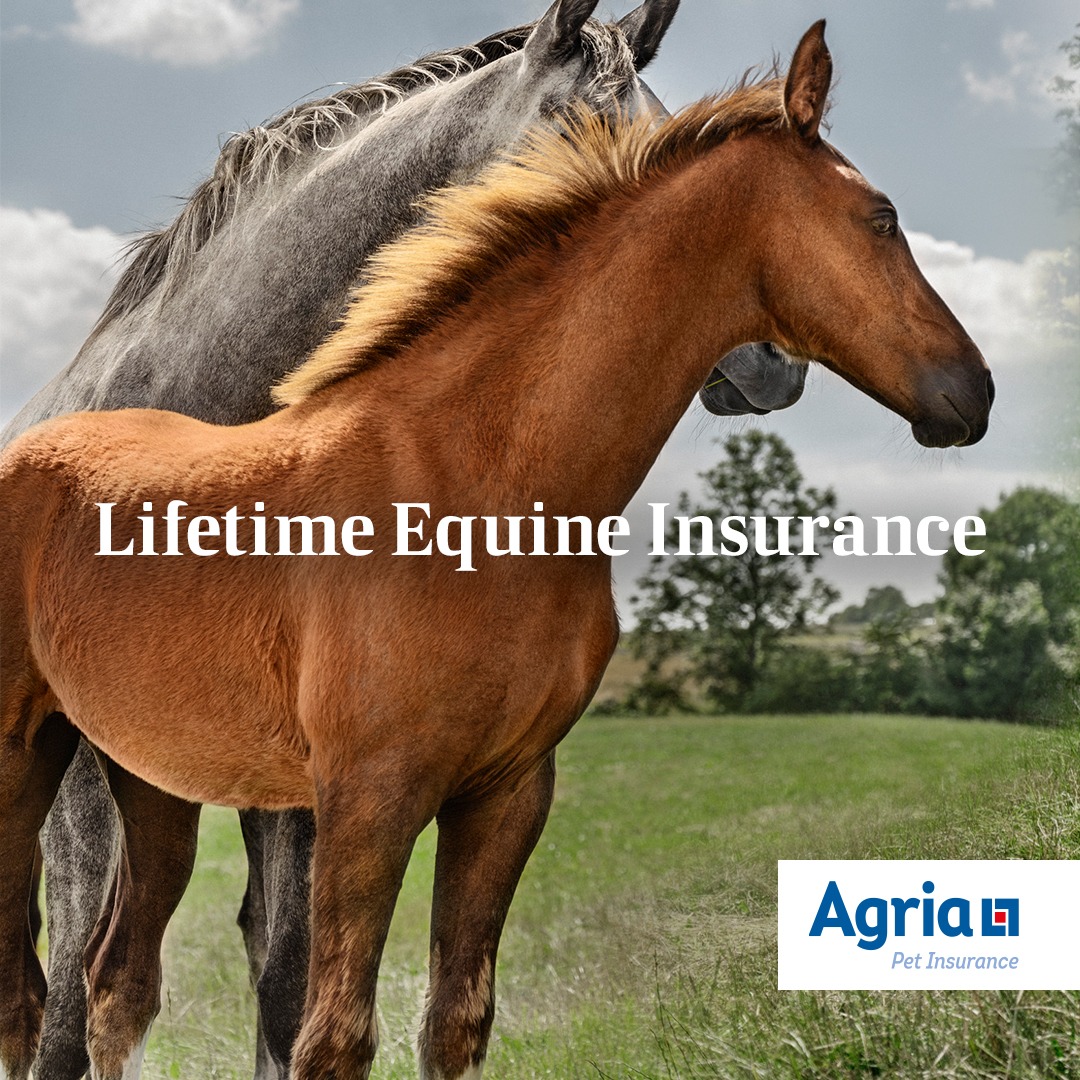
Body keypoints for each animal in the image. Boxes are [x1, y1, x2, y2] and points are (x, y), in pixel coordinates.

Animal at [0, 18, 993, 1080]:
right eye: (882, 217)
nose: (973, 392)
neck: (474, 474)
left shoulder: (505, 791)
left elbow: (450, 1020)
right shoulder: (367, 794)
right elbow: (328, 1031)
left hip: (152, 780)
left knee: (115, 984)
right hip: (41, 773)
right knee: (43, 999)